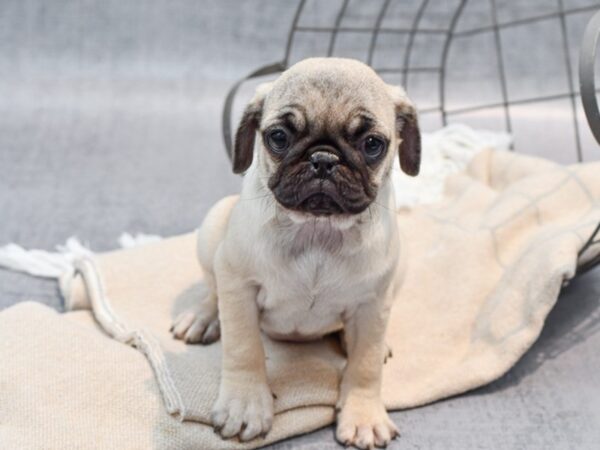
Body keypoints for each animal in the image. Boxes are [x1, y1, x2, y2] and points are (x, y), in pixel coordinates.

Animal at [170, 58, 422, 448]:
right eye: (278, 137)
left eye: (372, 144)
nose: (323, 159)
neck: (317, 229)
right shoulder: (239, 286)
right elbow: (243, 348)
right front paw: (245, 405)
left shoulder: (373, 302)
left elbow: (364, 366)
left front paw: (363, 414)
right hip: (213, 230)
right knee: (213, 287)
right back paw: (203, 317)